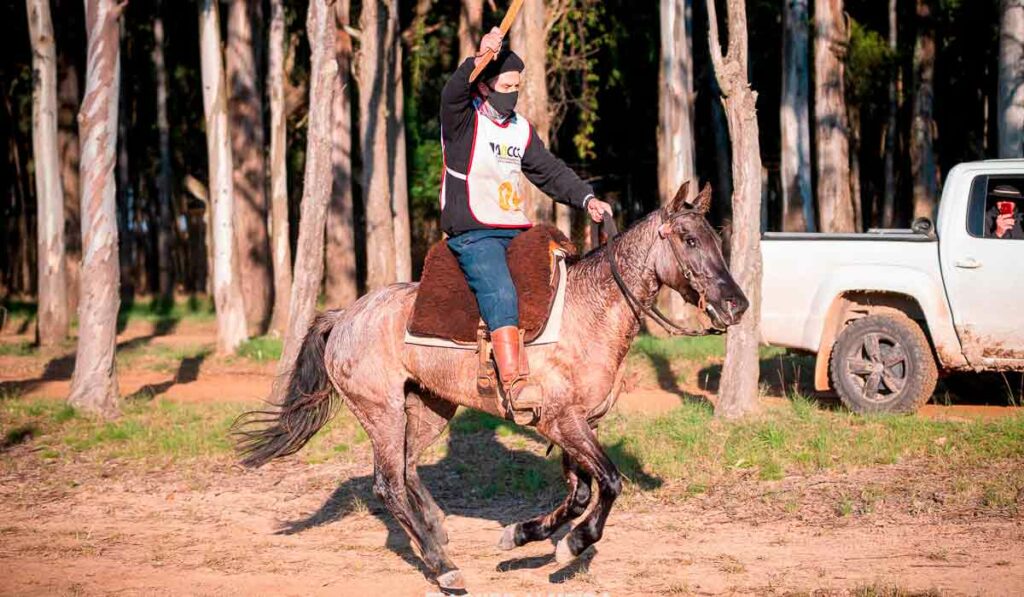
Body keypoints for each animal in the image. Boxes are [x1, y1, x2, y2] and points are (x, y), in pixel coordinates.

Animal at [234, 182, 745, 593]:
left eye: (716, 240)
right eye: (689, 239)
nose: (736, 305)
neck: (588, 312)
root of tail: (343, 317)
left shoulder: (575, 426)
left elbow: (581, 492)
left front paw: (523, 536)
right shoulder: (564, 422)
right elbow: (609, 483)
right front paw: (573, 544)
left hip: (430, 408)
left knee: (408, 468)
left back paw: (436, 530)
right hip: (382, 412)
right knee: (388, 484)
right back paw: (443, 567)